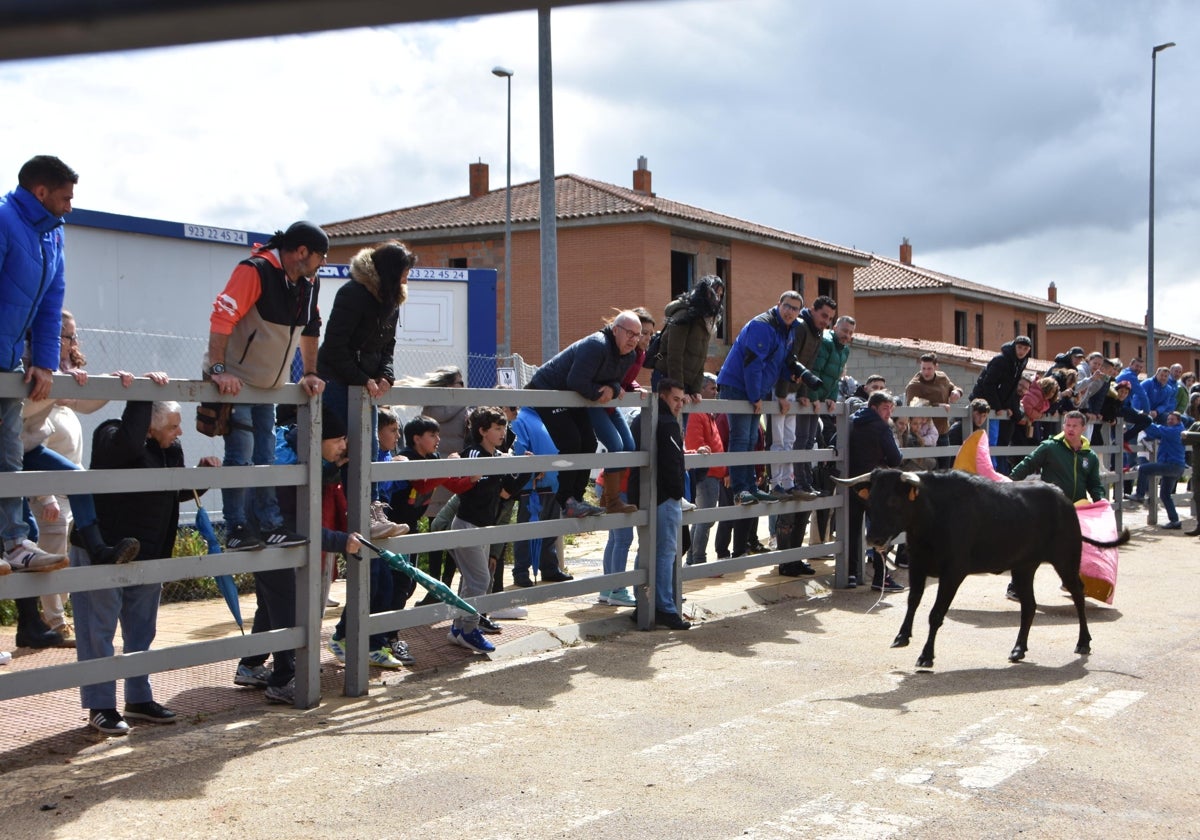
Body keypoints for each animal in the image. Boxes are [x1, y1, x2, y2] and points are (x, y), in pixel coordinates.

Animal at [840, 470, 1128, 667]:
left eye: (893, 501)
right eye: (869, 502)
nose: (873, 539)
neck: (933, 516)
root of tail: (1063, 498)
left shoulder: (953, 573)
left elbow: (935, 613)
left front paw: (926, 656)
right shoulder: (918, 566)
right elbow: (913, 601)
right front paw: (902, 636)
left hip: (1065, 559)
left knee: (1077, 594)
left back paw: (1083, 643)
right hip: (1024, 567)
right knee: (1029, 605)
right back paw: (1018, 649)